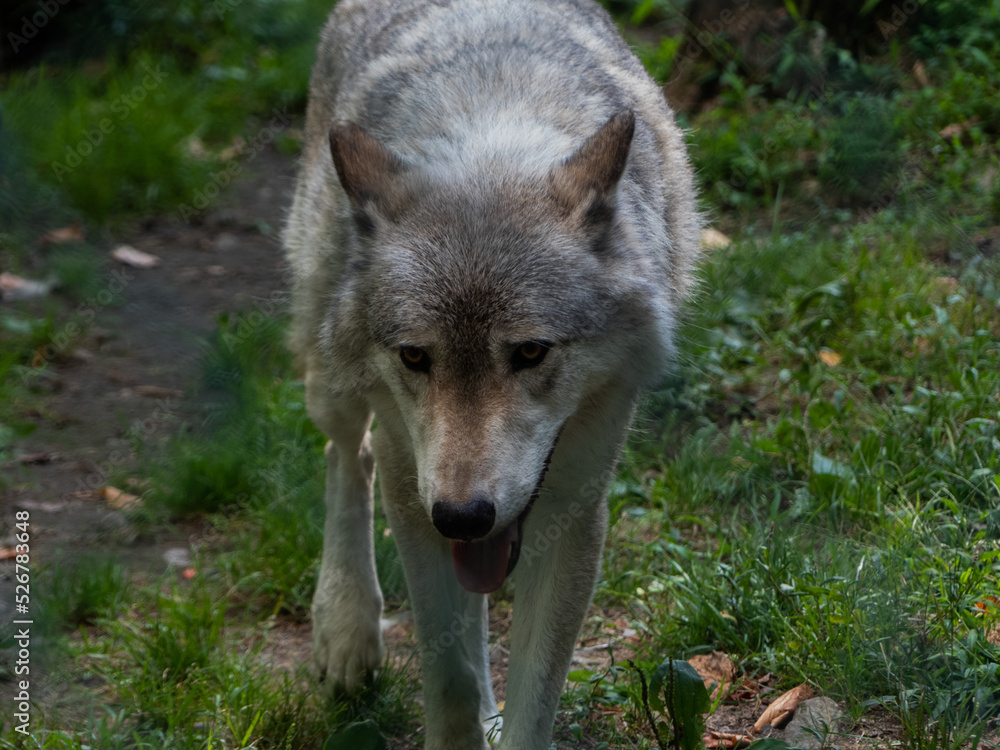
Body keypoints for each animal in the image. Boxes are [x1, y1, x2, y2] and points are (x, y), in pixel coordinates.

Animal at [283, 0, 700, 746]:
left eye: (530, 352)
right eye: (415, 356)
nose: (463, 516)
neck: (491, 136)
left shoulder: (573, 509)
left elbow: (533, 696)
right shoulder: (415, 502)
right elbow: (449, 678)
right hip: (332, 372)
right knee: (348, 453)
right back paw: (345, 629)